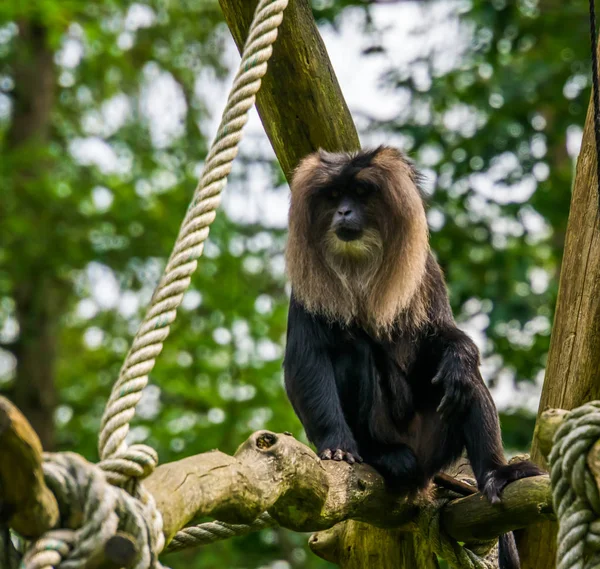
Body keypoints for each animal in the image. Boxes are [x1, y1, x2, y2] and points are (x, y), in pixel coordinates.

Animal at [282, 145, 544, 568]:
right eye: (334, 196)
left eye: (360, 193)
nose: (343, 213)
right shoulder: (306, 289)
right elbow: (307, 363)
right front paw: (336, 446)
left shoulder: (426, 270)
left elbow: (443, 337)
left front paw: (459, 355)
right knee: (352, 353)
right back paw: (383, 456)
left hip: (433, 442)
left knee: (464, 382)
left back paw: (497, 473)